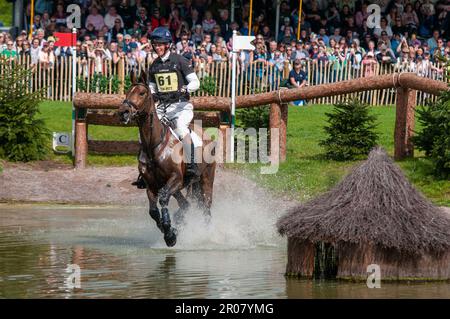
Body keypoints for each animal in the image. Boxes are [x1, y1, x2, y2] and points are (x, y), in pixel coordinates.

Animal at [115, 72, 215, 248]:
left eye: (142, 93)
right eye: (127, 92)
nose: (123, 112)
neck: (154, 144)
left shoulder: (175, 179)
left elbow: (162, 200)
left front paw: (169, 234)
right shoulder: (152, 185)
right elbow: (154, 210)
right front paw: (169, 230)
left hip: (205, 180)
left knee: (206, 208)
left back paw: (205, 235)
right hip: (179, 187)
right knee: (185, 204)